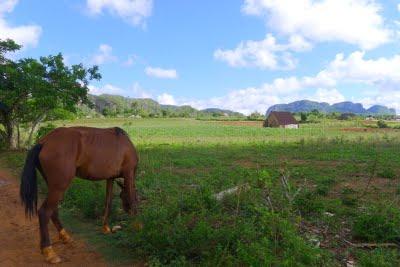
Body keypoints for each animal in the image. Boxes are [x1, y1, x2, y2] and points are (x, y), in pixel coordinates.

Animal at [19, 126, 140, 264]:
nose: (127, 210)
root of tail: (43, 142)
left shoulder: (110, 178)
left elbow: (108, 202)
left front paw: (105, 228)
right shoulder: (129, 172)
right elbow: (131, 200)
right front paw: (137, 227)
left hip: (54, 186)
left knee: (53, 211)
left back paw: (65, 236)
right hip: (59, 187)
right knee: (44, 212)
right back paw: (49, 251)